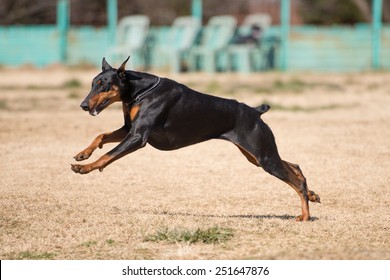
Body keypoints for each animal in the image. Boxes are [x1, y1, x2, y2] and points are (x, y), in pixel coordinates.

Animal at [71, 57, 320, 221]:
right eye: (92, 83)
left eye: (103, 84)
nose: (83, 105)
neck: (139, 91)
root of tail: (254, 111)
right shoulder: (128, 129)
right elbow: (101, 136)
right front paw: (83, 154)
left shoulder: (138, 137)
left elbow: (108, 155)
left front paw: (85, 168)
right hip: (255, 156)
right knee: (294, 166)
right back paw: (312, 194)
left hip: (263, 155)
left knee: (294, 181)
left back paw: (305, 215)